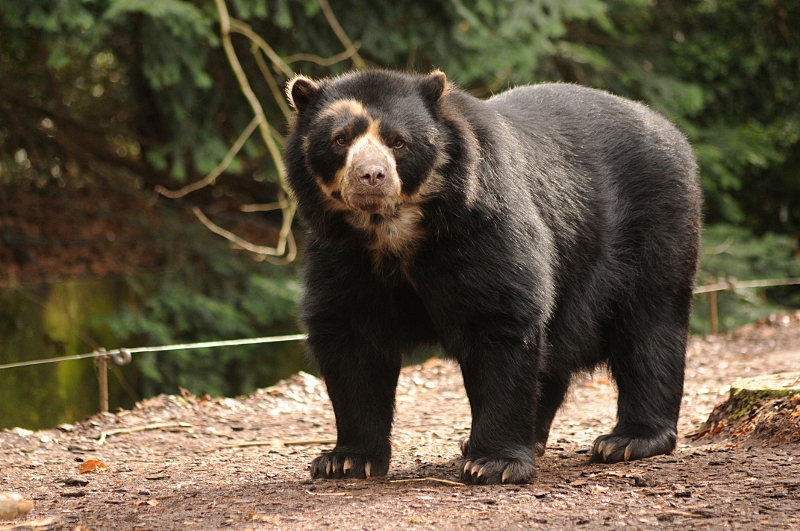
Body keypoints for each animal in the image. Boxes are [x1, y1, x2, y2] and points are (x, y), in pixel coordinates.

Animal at [283, 69, 701, 485]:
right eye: (340, 139)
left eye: (398, 141)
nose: (371, 175)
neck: (393, 230)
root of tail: (667, 127)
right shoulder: (343, 254)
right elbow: (352, 338)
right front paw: (345, 460)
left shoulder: (483, 223)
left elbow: (501, 320)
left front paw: (493, 464)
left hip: (654, 222)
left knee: (649, 325)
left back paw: (629, 440)